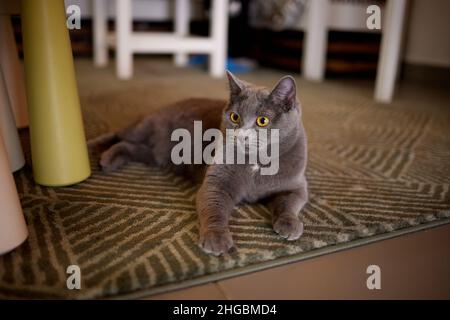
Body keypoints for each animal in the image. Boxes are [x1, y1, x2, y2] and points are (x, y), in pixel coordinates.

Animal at [91, 71, 310, 256]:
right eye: (235, 117)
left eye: (262, 121)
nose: (240, 135)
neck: (256, 163)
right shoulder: (216, 183)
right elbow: (214, 208)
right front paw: (216, 238)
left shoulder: (296, 184)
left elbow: (289, 202)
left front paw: (290, 224)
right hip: (144, 127)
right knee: (119, 134)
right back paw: (95, 149)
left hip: (155, 155)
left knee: (130, 146)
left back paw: (110, 160)